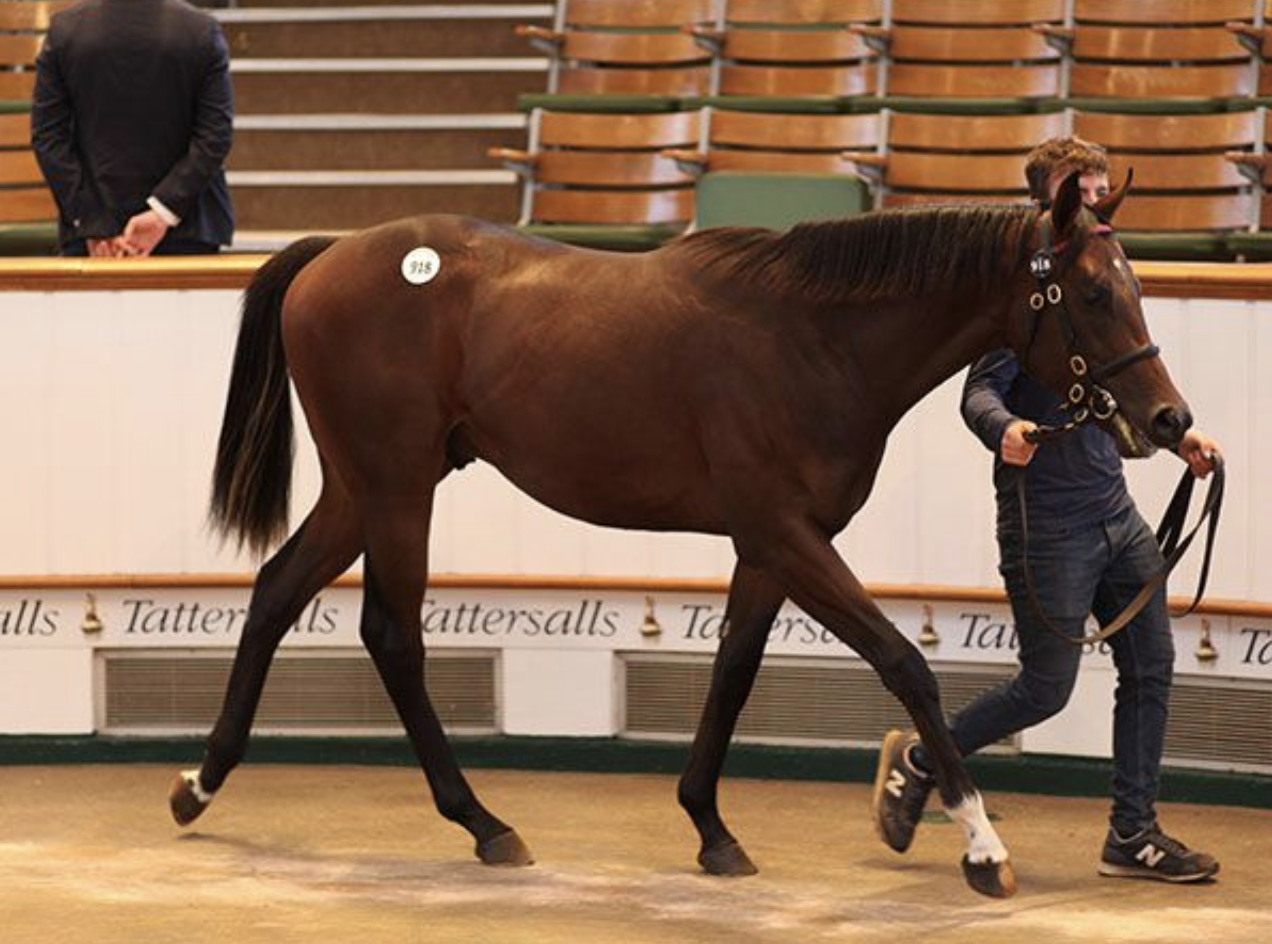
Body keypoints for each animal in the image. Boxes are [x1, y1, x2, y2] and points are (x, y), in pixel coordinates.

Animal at [169, 174, 1190, 900]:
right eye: (1093, 294)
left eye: (1137, 287)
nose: (1169, 420)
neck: (815, 340)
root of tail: (330, 255)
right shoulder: (787, 535)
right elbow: (906, 664)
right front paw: (982, 847)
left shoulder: (769, 547)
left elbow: (733, 669)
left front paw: (711, 828)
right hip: (394, 487)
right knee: (391, 635)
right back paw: (483, 822)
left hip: (362, 488)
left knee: (276, 591)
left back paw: (200, 783)